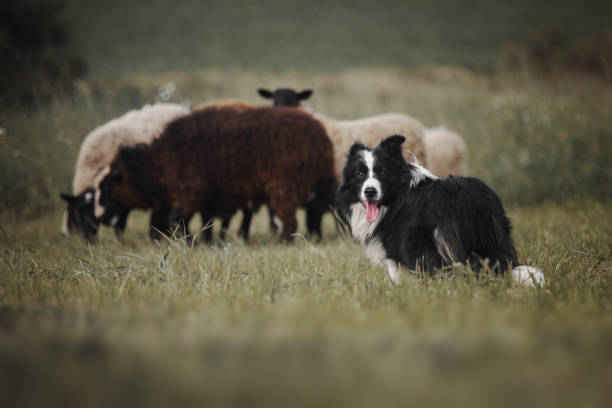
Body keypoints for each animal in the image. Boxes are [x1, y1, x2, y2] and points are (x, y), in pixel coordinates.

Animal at [93, 105, 338, 244]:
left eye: (109, 185)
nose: (101, 217)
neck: (157, 162)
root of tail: (321, 136)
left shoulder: (188, 190)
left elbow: (178, 219)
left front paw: (191, 242)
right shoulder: (210, 196)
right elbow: (207, 222)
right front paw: (206, 241)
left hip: (284, 188)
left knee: (290, 223)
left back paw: (283, 243)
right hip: (315, 183)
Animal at [334, 135, 544, 286]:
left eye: (382, 172)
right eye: (359, 174)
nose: (370, 192)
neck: (398, 194)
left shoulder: (400, 242)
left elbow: (397, 273)